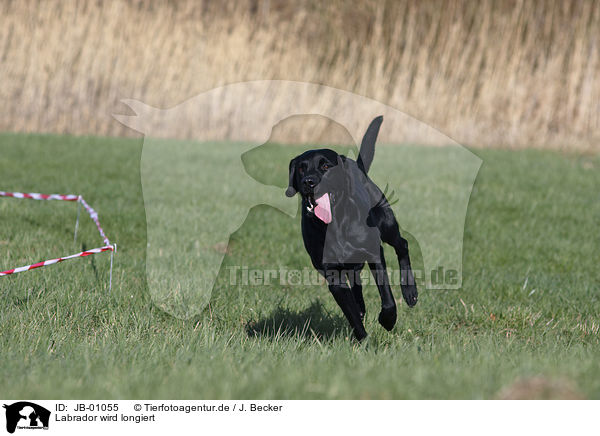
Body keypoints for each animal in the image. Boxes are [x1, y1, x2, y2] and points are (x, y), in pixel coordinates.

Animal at [286, 116, 418, 340]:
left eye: (326, 166)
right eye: (302, 168)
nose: (309, 182)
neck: (336, 224)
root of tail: (358, 167)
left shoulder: (374, 254)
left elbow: (387, 298)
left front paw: (388, 320)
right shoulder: (333, 275)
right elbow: (352, 314)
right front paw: (363, 339)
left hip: (386, 224)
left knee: (403, 244)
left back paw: (410, 291)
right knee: (357, 288)